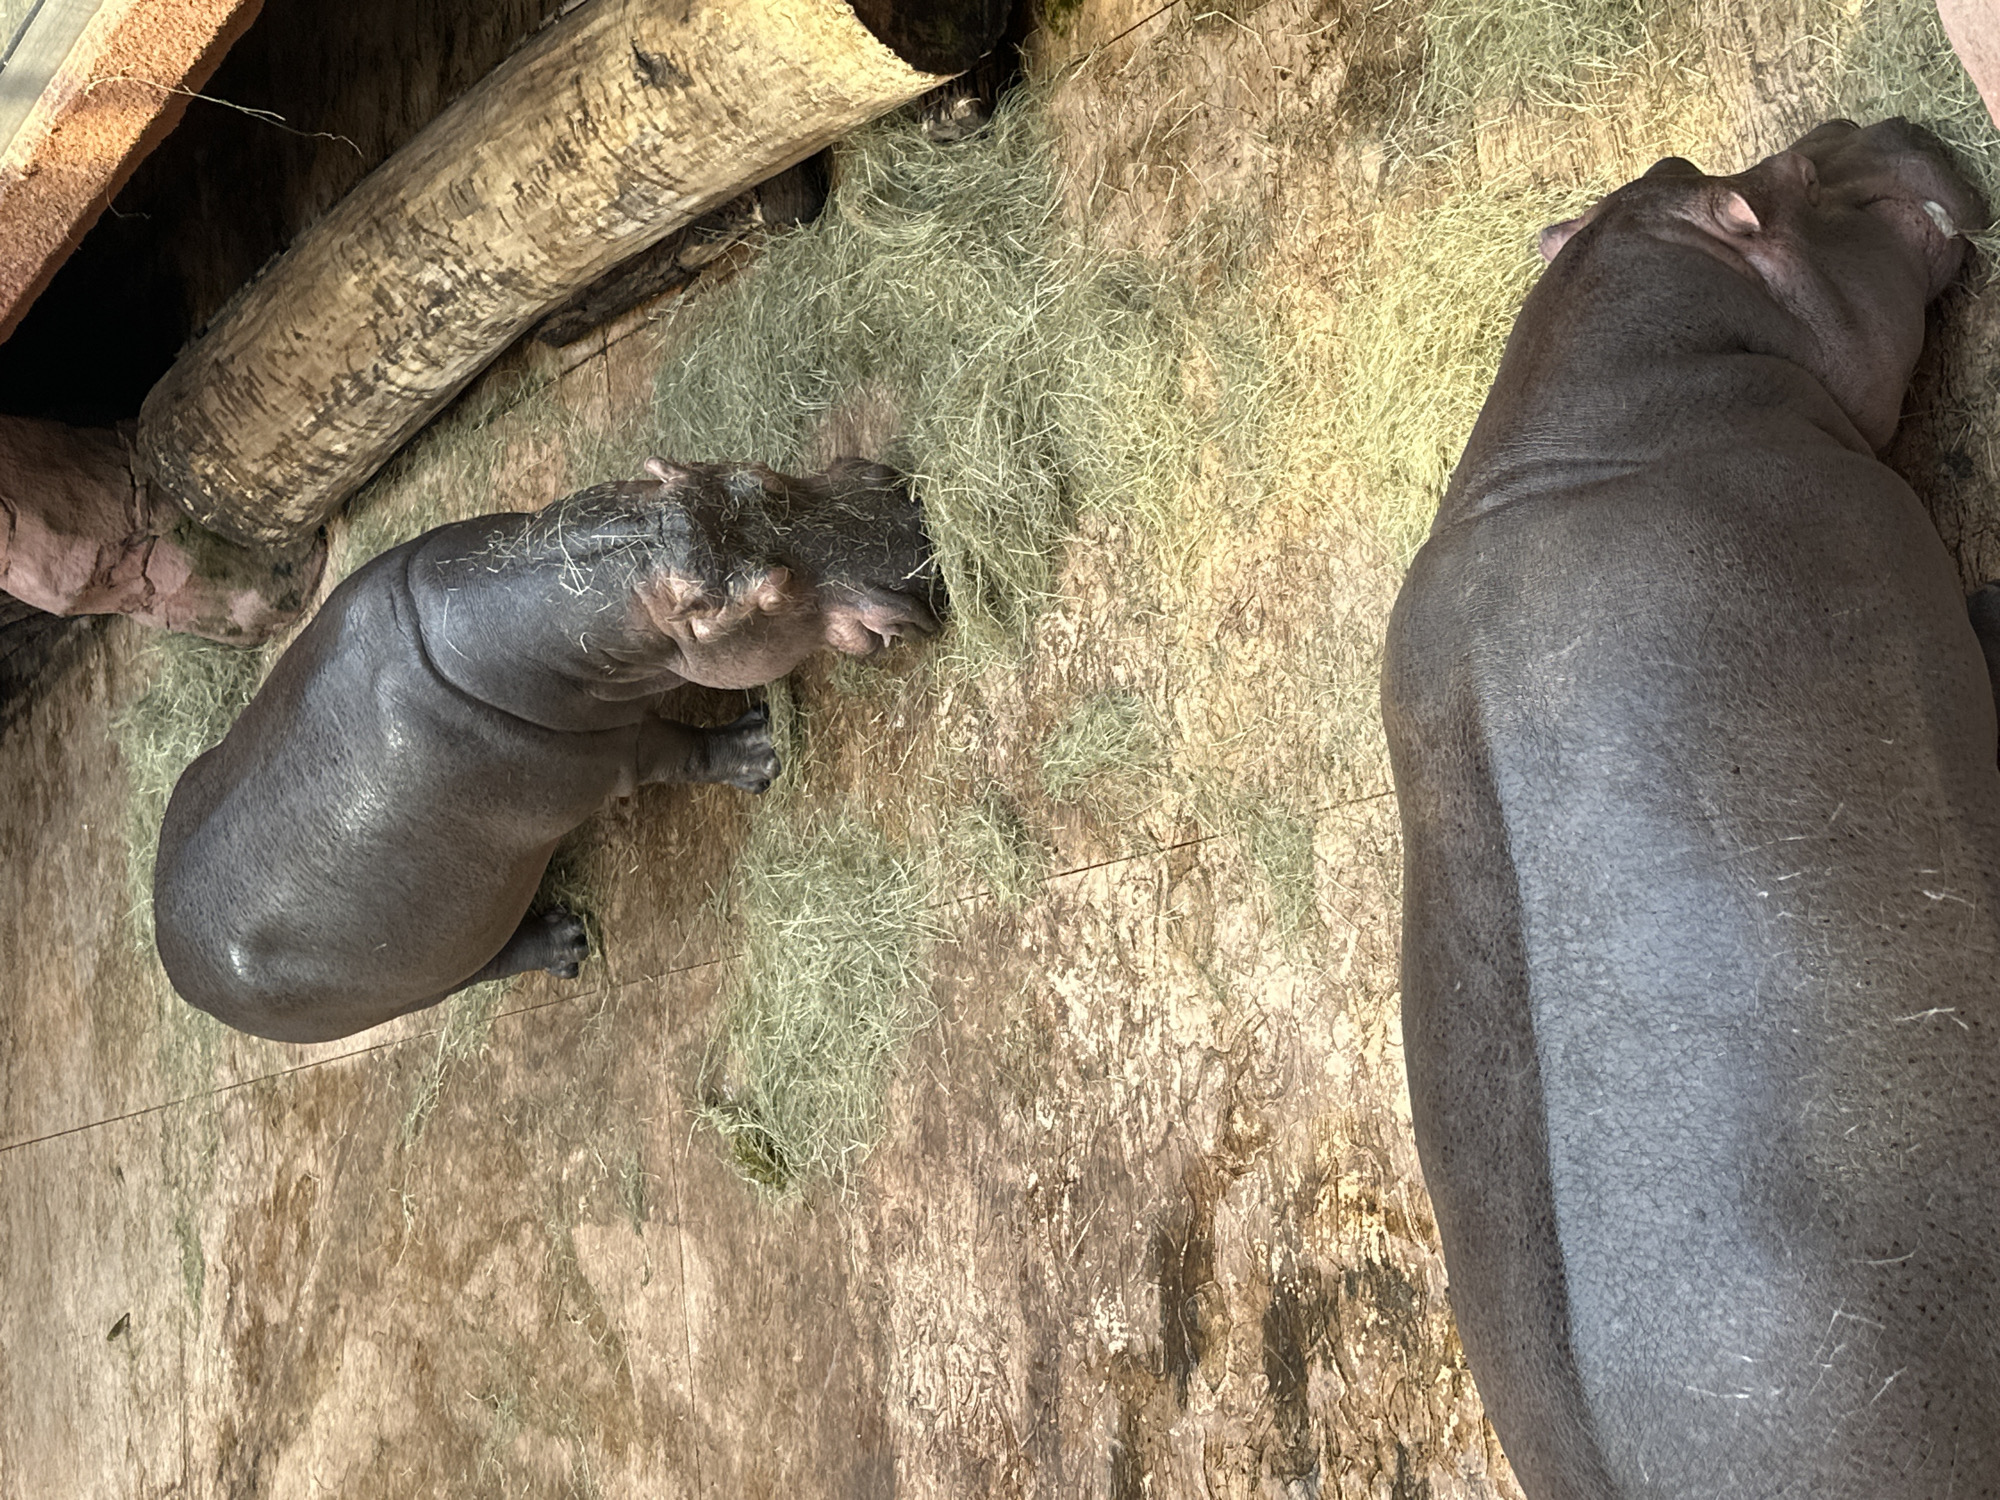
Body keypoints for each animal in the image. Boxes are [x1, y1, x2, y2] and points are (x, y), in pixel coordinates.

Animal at [154, 457, 942, 1044]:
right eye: (771, 595)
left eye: (759, 478)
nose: (910, 520)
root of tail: (174, 956)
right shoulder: (605, 760)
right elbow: (676, 751)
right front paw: (756, 748)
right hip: (429, 968)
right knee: (478, 969)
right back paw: (563, 942)